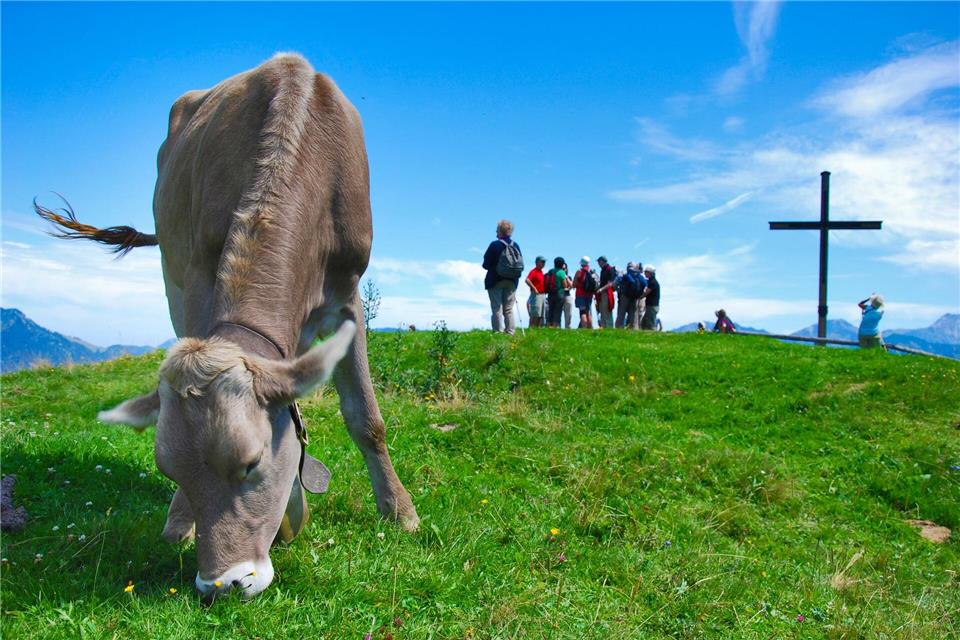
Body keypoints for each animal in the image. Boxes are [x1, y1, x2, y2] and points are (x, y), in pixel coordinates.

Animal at [36, 53, 419, 600]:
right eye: (170, 469)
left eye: (251, 463)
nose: (222, 582)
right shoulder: (199, 276)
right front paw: (183, 521)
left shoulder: (348, 296)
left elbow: (365, 417)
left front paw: (399, 512)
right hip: (172, 272)